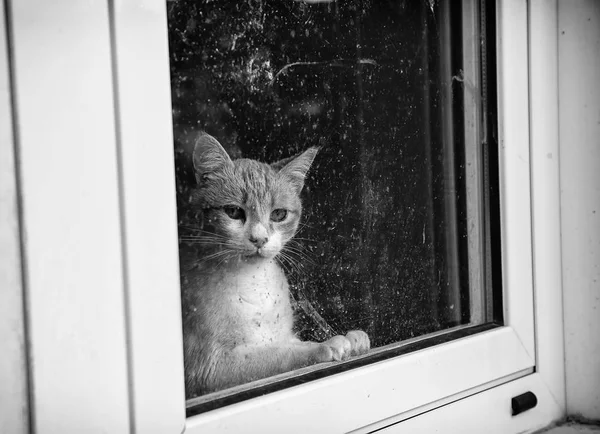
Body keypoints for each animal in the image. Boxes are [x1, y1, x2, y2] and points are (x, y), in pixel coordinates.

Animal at [179, 133, 370, 400]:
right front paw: (324, 346)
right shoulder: (211, 369)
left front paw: (355, 340)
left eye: (279, 214)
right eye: (233, 211)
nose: (259, 239)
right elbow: (278, 355)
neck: (254, 283)